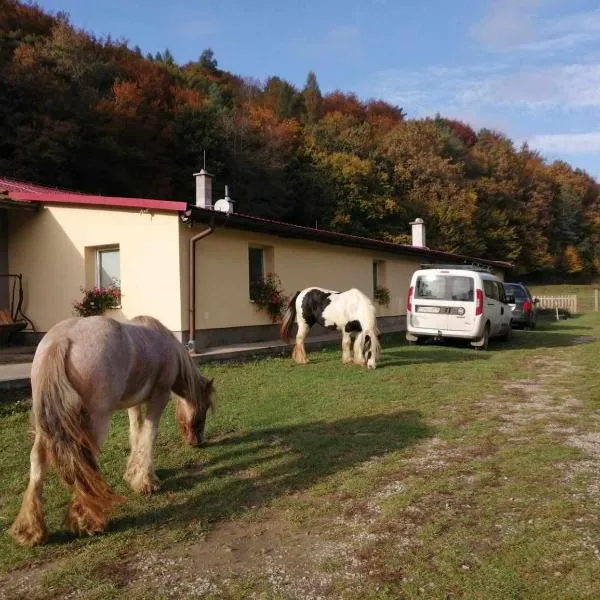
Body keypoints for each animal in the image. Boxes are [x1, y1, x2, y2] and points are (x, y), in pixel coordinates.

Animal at [9, 316, 216, 548]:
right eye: (205, 407)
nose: (197, 441)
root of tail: (61, 341)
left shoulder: (133, 403)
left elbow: (137, 431)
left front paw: (135, 473)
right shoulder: (159, 396)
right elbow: (149, 434)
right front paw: (146, 481)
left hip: (44, 425)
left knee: (37, 460)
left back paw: (31, 530)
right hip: (94, 421)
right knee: (84, 462)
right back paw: (89, 522)